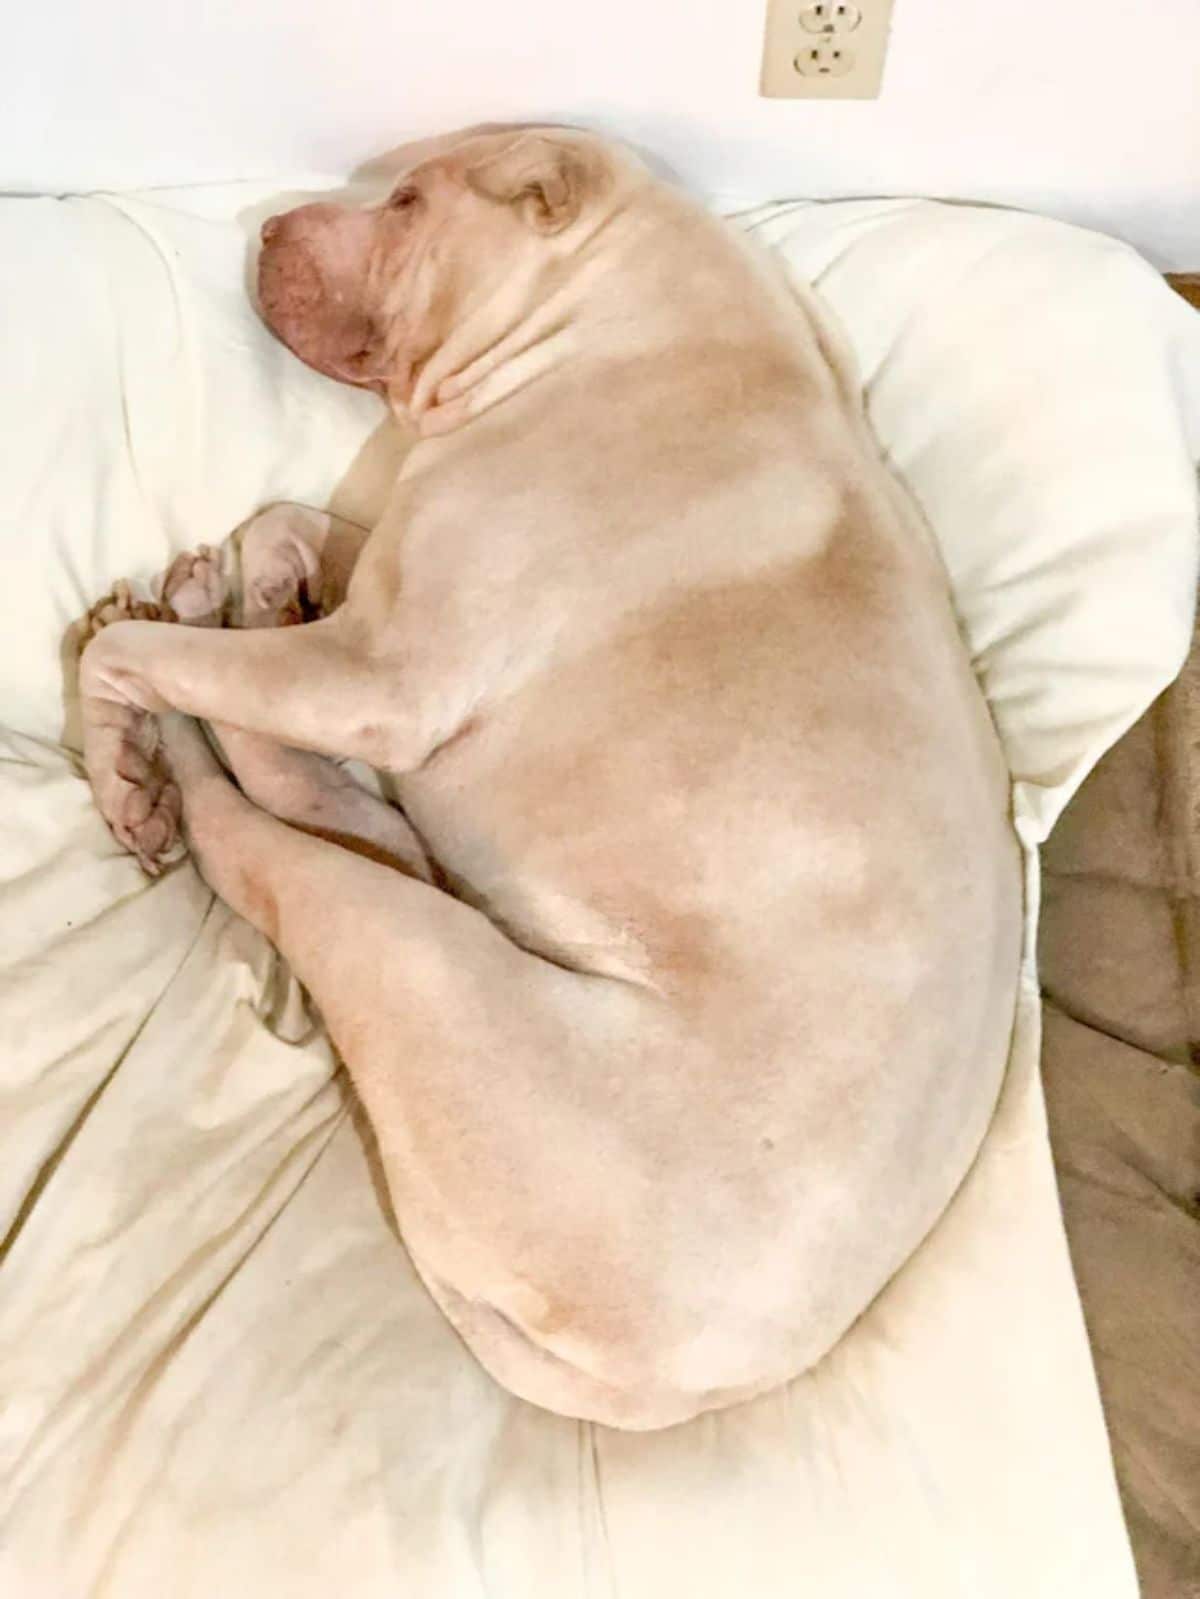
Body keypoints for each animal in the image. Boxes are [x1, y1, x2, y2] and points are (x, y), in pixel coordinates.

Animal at [77, 121, 1024, 1426]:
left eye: (408, 202)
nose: (266, 227)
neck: (619, 317)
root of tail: (669, 1388)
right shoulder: (384, 593)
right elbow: (286, 520)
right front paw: (264, 581)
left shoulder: (377, 673)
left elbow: (142, 659)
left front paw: (119, 729)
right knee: (343, 815)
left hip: (412, 960)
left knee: (250, 826)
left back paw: (170, 747)